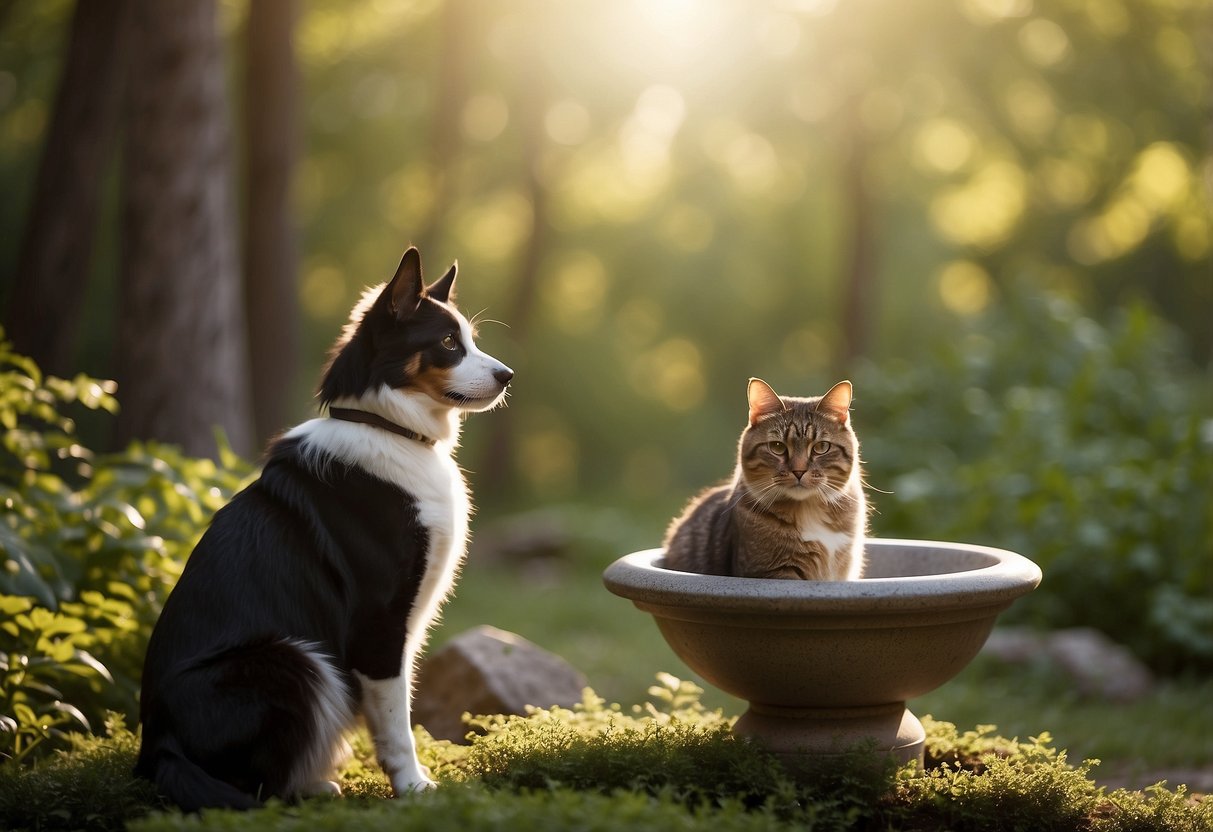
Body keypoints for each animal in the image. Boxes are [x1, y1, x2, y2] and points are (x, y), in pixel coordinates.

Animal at [135, 244, 514, 810]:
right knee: (256, 787)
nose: (508, 375)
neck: (388, 427)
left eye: (469, 337)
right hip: (294, 659)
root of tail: (157, 747)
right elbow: (395, 720)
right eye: (448, 342)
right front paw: (413, 787)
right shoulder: (380, 621)